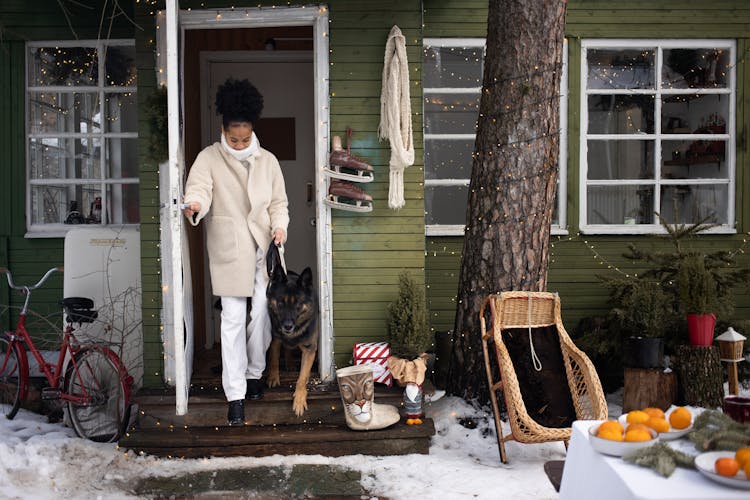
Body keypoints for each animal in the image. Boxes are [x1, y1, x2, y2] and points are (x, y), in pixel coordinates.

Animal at [266, 244, 318, 416]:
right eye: (280, 303)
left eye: (298, 304)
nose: (287, 326)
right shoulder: (275, 339)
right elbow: (274, 359)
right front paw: (273, 377)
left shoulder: (310, 349)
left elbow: (302, 377)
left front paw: (300, 399)